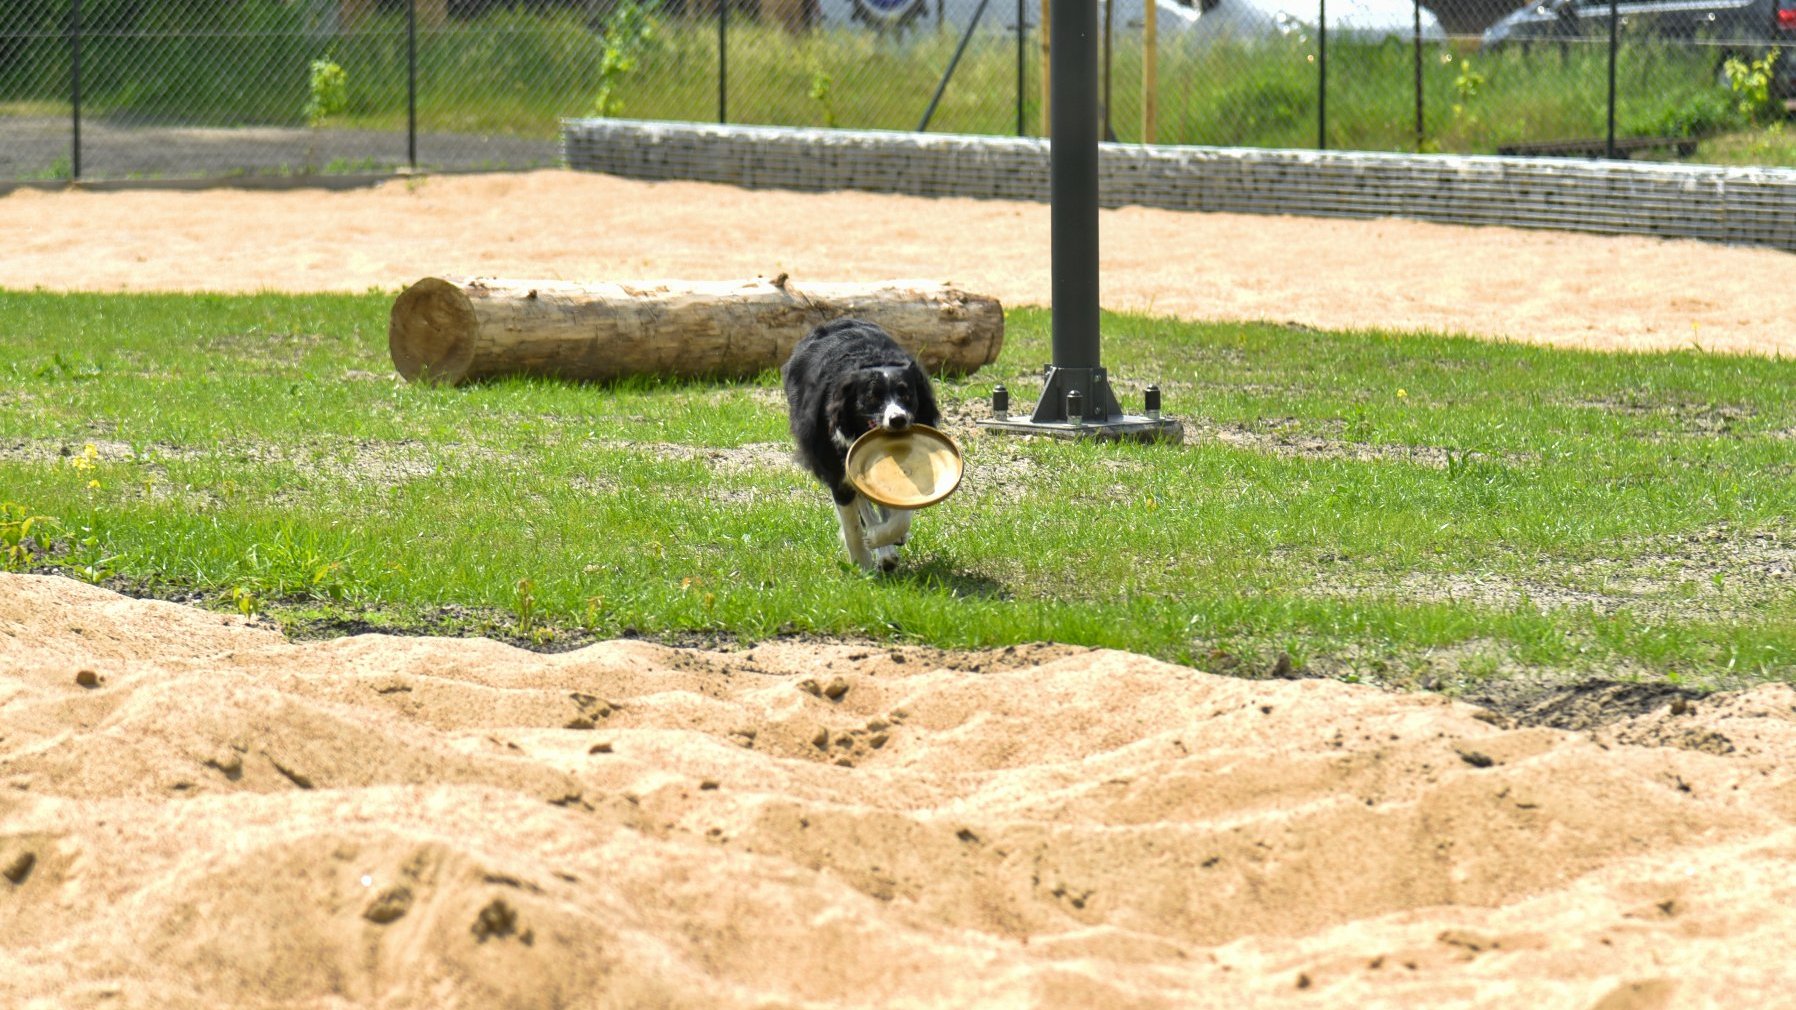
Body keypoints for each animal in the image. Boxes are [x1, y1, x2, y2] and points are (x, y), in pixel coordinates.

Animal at [783, 318, 941, 571]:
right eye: (872, 397)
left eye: (906, 394)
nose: (898, 420)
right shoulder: (837, 470)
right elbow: (852, 525)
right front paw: (862, 566)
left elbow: (901, 514)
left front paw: (882, 537)